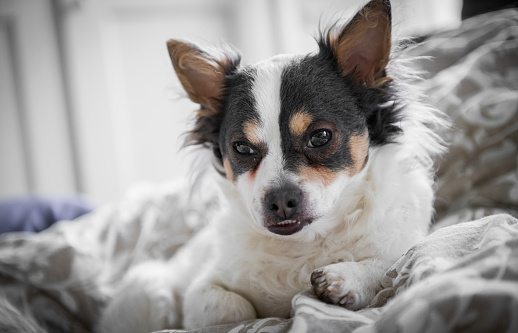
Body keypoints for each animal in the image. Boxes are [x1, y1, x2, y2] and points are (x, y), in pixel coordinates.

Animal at [96, 0, 446, 330]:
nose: (279, 200)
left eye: (320, 137)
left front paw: (348, 277)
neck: (306, 242)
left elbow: (393, 264)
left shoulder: (404, 244)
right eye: (241, 148)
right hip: (149, 287)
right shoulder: (203, 290)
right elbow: (233, 309)